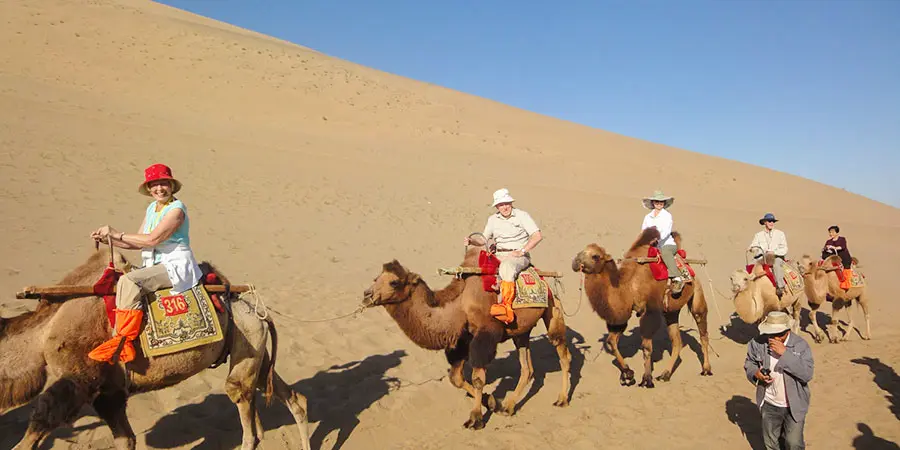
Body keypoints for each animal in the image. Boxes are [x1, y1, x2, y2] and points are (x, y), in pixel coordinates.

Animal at [0, 250, 310, 450]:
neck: (43, 332)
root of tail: (257, 311)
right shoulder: (109, 391)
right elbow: (126, 439)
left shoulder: (79, 379)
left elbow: (38, 424)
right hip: (255, 349)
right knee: (292, 397)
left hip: (247, 344)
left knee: (244, 409)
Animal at [360, 236, 568, 428]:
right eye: (376, 278)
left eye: (394, 282)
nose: (366, 295)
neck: (459, 305)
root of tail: (541, 276)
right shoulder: (462, 340)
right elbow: (456, 379)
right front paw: (490, 401)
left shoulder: (485, 335)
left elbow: (477, 378)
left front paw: (475, 418)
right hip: (520, 331)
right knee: (527, 368)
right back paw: (508, 407)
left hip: (553, 309)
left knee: (562, 351)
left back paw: (562, 399)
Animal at [572, 230, 712, 388]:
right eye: (582, 250)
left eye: (595, 256)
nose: (575, 261)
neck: (628, 287)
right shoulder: (621, 316)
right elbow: (611, 341)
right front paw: (628, 374)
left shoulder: (650, 311)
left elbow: (646, 346)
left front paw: (646, 379)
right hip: (671, 311)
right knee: (677, 341)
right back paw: (665, 374)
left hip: (697, 291)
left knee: (702, 330)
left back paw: (706, 369)